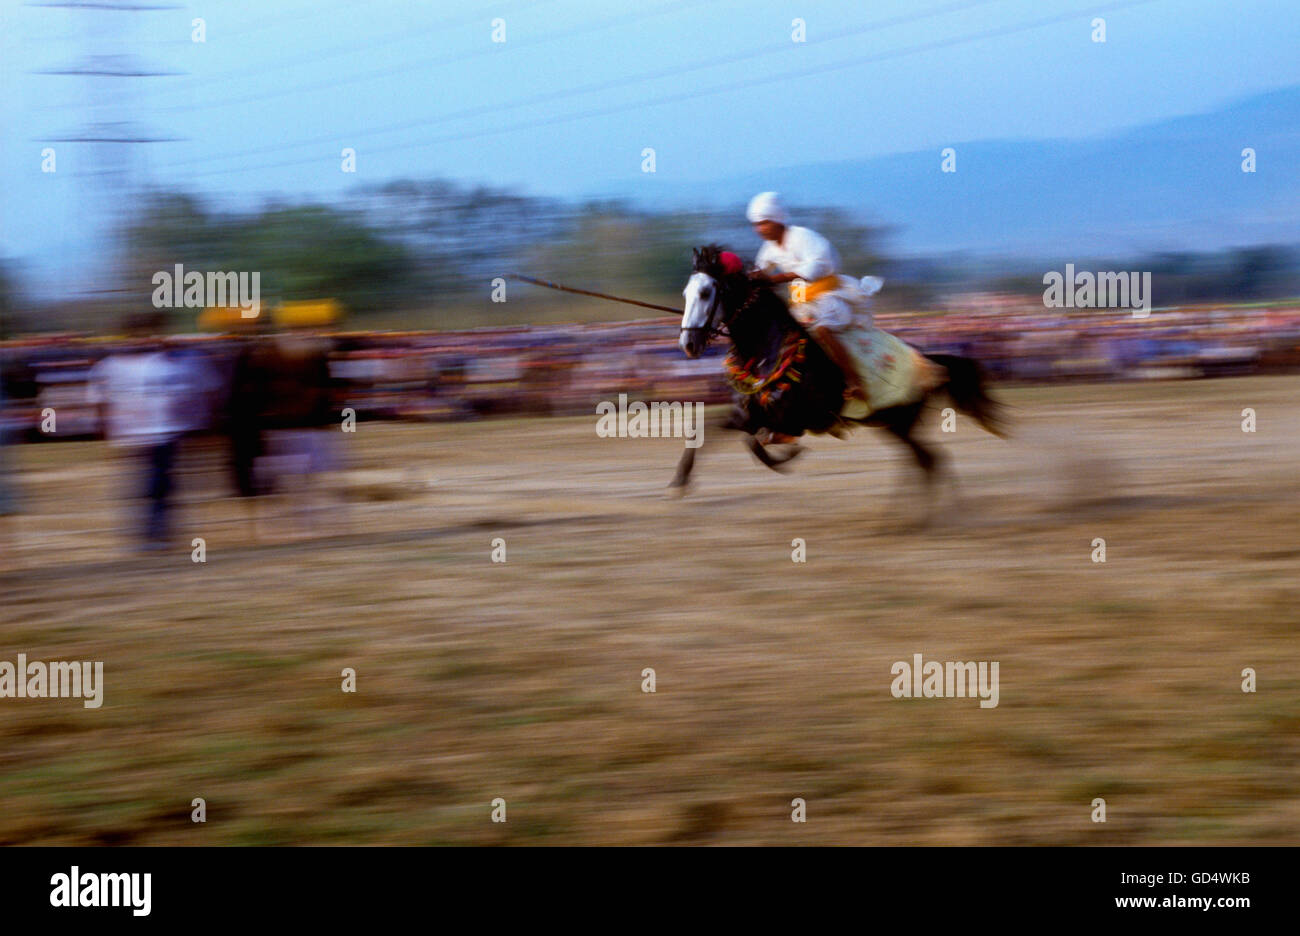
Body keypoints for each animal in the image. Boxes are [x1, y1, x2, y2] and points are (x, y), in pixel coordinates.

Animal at [670, 244, 1003, 504]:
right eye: (685, 292)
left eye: (705, 292)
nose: (688, 344)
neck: (770, 350)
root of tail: (929, 360)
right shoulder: (747, 414)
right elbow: (709, 432)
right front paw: (679, 482)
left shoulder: (792, 420)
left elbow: (757, 438)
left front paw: (787, 457)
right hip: (894, 425)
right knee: (926, 461)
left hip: (900, 420)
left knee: (927, 461)